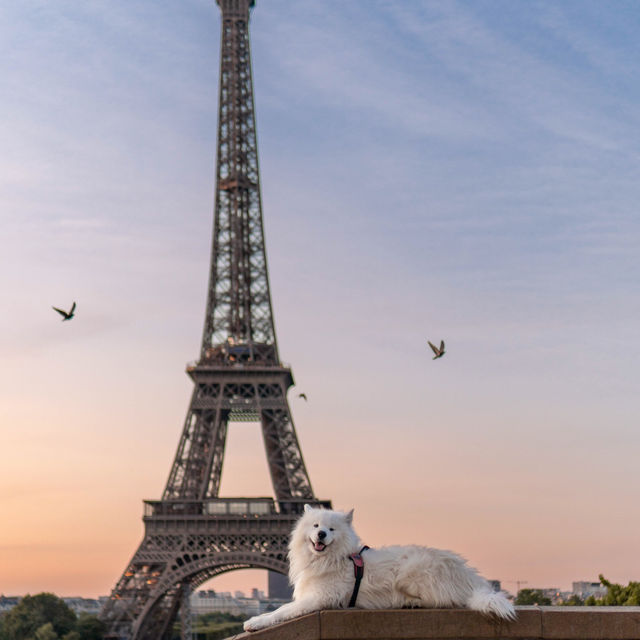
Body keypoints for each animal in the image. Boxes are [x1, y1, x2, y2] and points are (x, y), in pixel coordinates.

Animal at [241, 508, 516, 632]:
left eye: (331, 529)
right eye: (316, 526)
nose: (321, 535)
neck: (332, 559)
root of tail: (471, 577)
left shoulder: (319, 598)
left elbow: (282, 610)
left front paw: (256, 621)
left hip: (411, 571)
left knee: (446, 600)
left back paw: (409, 602)